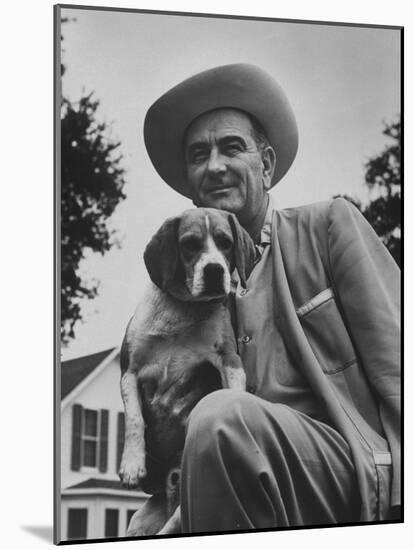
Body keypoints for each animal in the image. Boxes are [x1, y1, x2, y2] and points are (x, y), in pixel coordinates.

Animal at [119, 207, 256, 536]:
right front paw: (132, 465)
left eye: (225, 243)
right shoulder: (129, 370)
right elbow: (134, 419)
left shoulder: (229, 360)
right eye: (190, 244)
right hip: (138, 521)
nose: (214, 270)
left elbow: (234, 393)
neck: (183, 311)